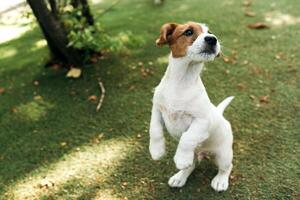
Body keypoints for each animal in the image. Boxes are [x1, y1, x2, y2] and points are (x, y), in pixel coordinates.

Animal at [149, 21, 234, 191]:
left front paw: (181, 158)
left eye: (210, 32)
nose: (212, 39)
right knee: (191, 166)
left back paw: (220, 181)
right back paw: (179, 177)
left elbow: (187, 137)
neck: (182, 81)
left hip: (224, 155)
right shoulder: (157, 108)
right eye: (188, 32)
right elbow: (154, 129)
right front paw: (156, 151)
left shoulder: (202, 121)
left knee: (226, 167)